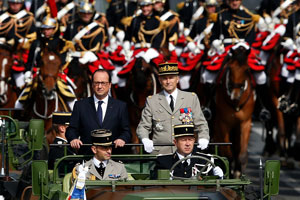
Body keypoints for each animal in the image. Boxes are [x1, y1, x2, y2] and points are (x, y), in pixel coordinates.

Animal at [213, 44, 255, 177]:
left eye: (247, 70)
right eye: (230, 69)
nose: (235, 95)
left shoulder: (245, 122)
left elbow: (241, 154)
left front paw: (238, 173)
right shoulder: (223, 124)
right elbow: (227, 154)